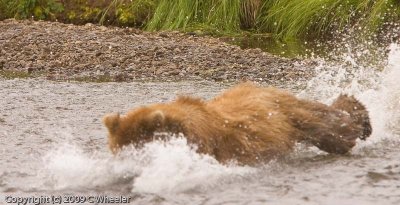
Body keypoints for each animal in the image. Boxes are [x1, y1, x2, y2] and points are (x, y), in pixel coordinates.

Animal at [102, 82, 372, 165]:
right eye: (117, 152)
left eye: (139, 149)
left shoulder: (217, 145)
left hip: (290, 115)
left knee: (331, 130)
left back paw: (361, 118)